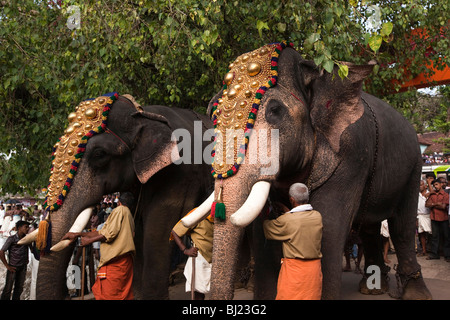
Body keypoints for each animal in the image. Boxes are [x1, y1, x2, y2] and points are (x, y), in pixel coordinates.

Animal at [183, 42, 432, 300]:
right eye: (211, 113)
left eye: (275, 110)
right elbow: (264, 234)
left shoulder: (351, 157)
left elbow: (329, 227)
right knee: (370, 226)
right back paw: (372, 288)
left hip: (414, 165)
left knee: (402, 225)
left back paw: (415, 293)